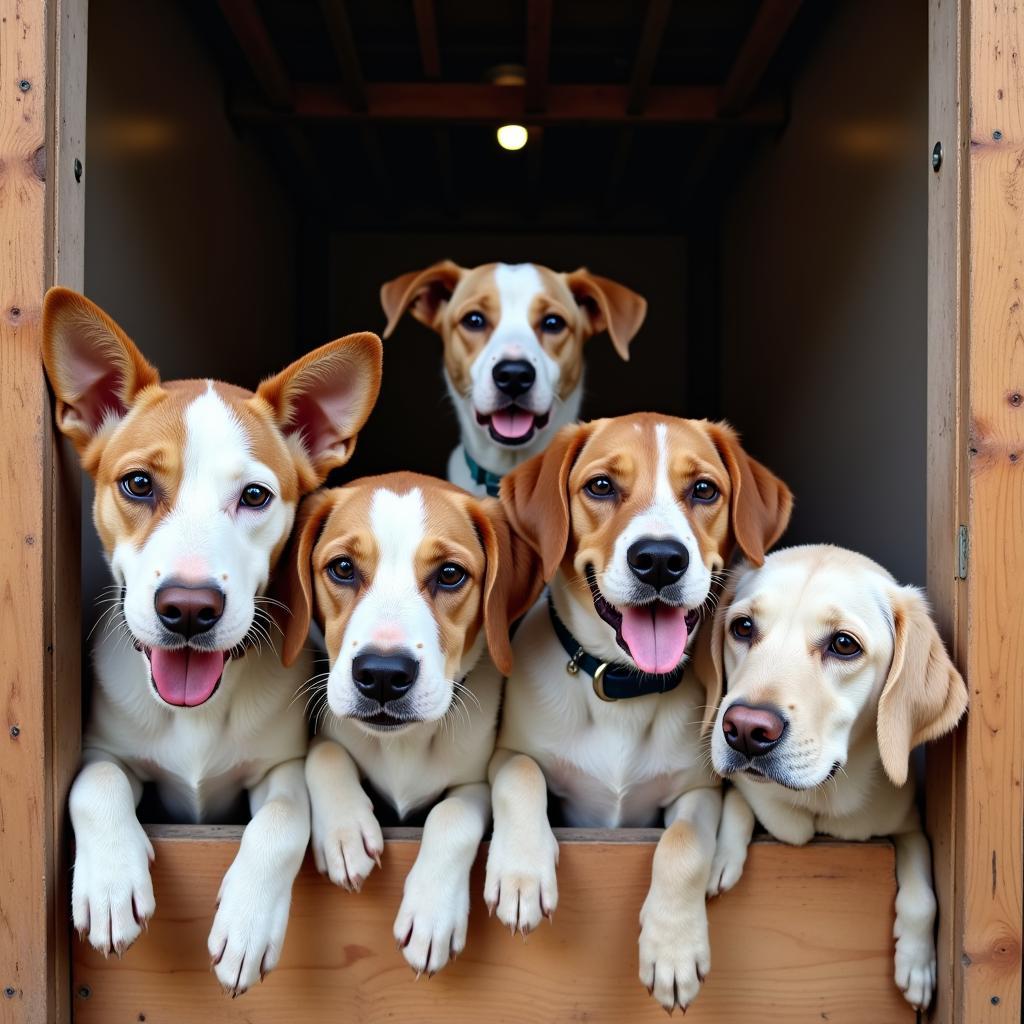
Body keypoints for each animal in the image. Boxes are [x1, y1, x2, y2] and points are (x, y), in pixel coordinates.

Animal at [38, 286, 385, 991]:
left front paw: (248, 924)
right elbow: (93, 783)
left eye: (254, 496)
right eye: (138, 484)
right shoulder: (104, 750)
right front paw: (110, 882)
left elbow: (284, 818)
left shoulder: (279, 767)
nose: (189, 610)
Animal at [276, 471, 540, 974]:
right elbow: (325, 753)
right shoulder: (329, 727)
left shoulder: (472, 783)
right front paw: (345, 831)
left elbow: (450, 813)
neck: (402, 746)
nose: (382, 675)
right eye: (342, 568)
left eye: (450, 574)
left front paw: (432, 913)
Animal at [487, 415, 790, 1015]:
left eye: (704, 490)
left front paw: (672, 947)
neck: (624, 689)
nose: (659, 560)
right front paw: (521, 872)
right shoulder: (506, 755)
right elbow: (522, 774)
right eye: (602, 486)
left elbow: (684, 845)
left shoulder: (696, 790)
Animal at [700, 544, 970, 1007]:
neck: (820, 802)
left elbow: (923, 890)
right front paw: (722, 855)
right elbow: (739, 799)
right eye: (743, 627)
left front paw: (918, 964)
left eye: (844, 644)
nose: (746, 730)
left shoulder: (908, 825)